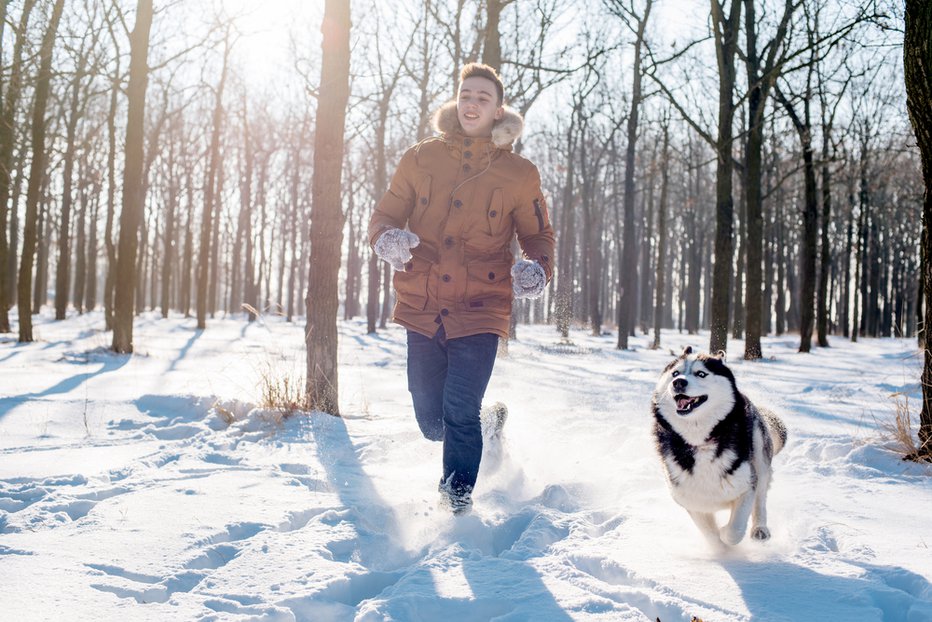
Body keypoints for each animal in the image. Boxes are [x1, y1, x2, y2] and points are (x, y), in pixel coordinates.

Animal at [652, 348, 792, 548]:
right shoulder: (692, 501)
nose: (678, 382)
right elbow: (711, 535)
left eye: (701, 374)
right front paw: (720, 548)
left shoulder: (747, 485)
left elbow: (735, 530)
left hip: (759, 456)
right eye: (675, 373)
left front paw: (726, 533)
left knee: (761, 499)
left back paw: (760, 529)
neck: (700, 442)